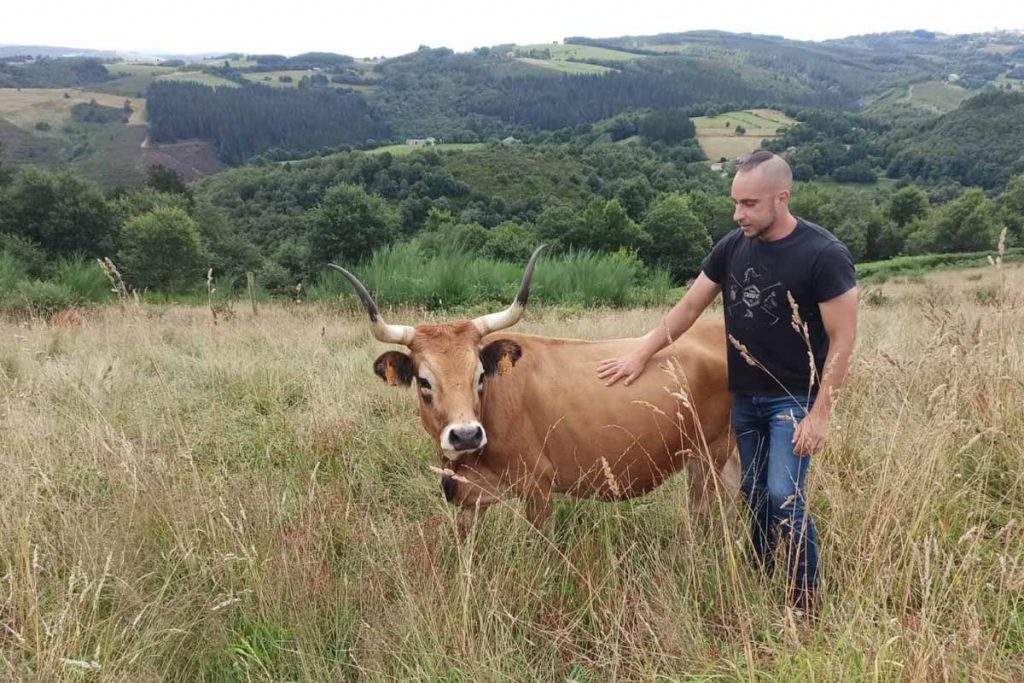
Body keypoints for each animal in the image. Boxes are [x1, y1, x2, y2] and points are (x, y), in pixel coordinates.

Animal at [332, 247, 737, 529]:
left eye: (480, 376)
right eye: (424, 381)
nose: (465, 435)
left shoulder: (538, 488)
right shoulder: (466, 498)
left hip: (711, 457)